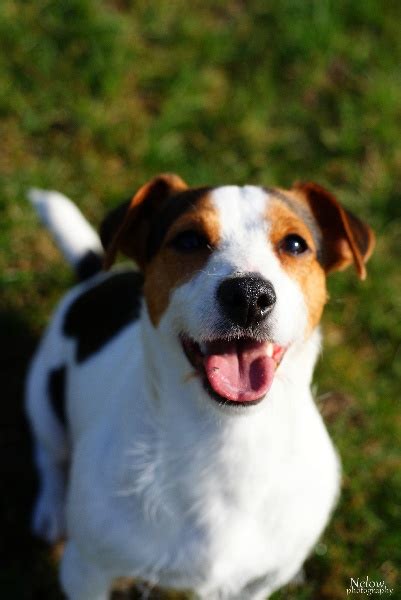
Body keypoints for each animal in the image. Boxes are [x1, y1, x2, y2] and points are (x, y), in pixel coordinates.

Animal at [26, 175, 374, 600]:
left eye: (295, 244)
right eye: (189, 239)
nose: (249, 296)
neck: (227, 436)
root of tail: (96, 276)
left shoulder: (257, 584)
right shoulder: (85, 571)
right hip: (42, 398)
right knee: (49, 455)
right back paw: (50, 509)